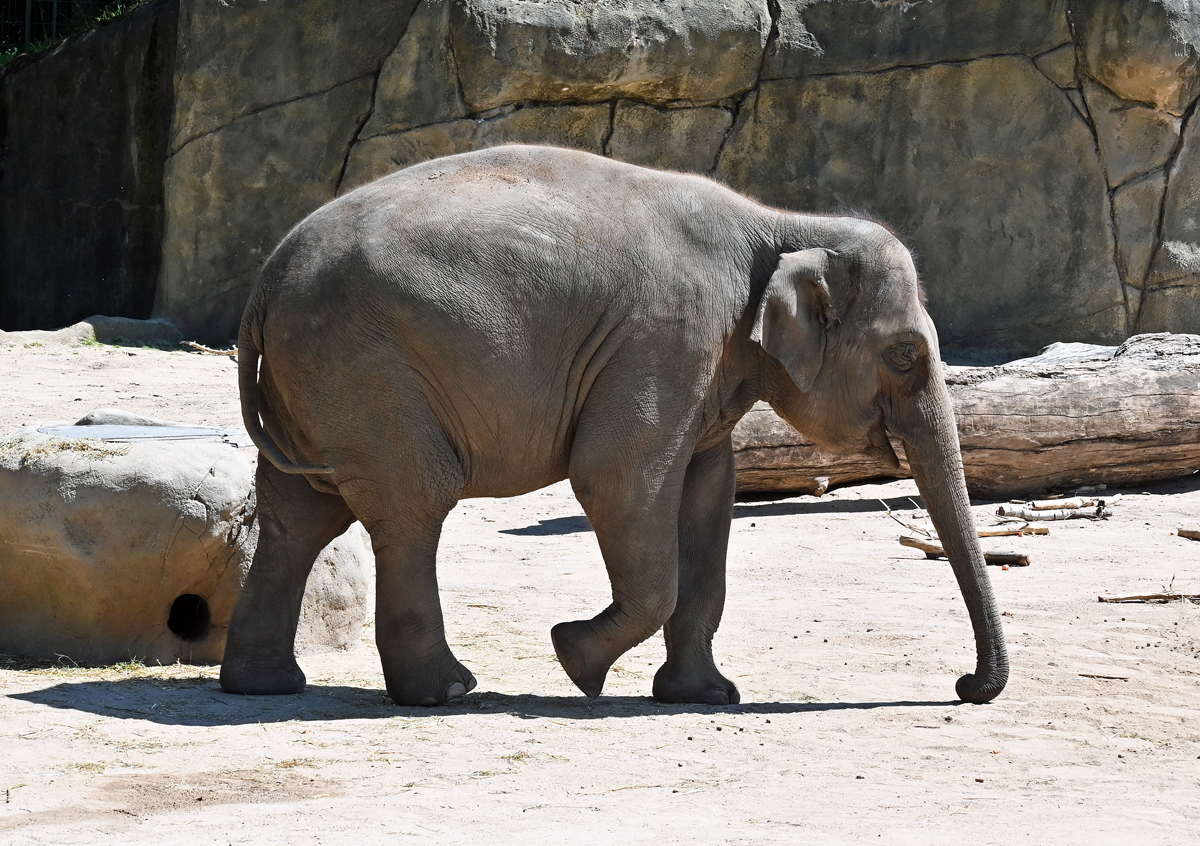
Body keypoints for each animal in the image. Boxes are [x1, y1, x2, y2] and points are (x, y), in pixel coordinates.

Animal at [220, 143, 1008, 705]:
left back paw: (266, 685)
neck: (786, 226)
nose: (966, 687)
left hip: (314, 380)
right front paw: (574, 659)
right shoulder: (666, 339)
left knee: (299, 515)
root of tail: (264, 283)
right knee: (413, 502)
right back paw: (448, 691)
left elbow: (705, 498)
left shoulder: (705, 366)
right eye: (905, 354)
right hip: (363, 368)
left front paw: (705, 697)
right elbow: (618, 481)